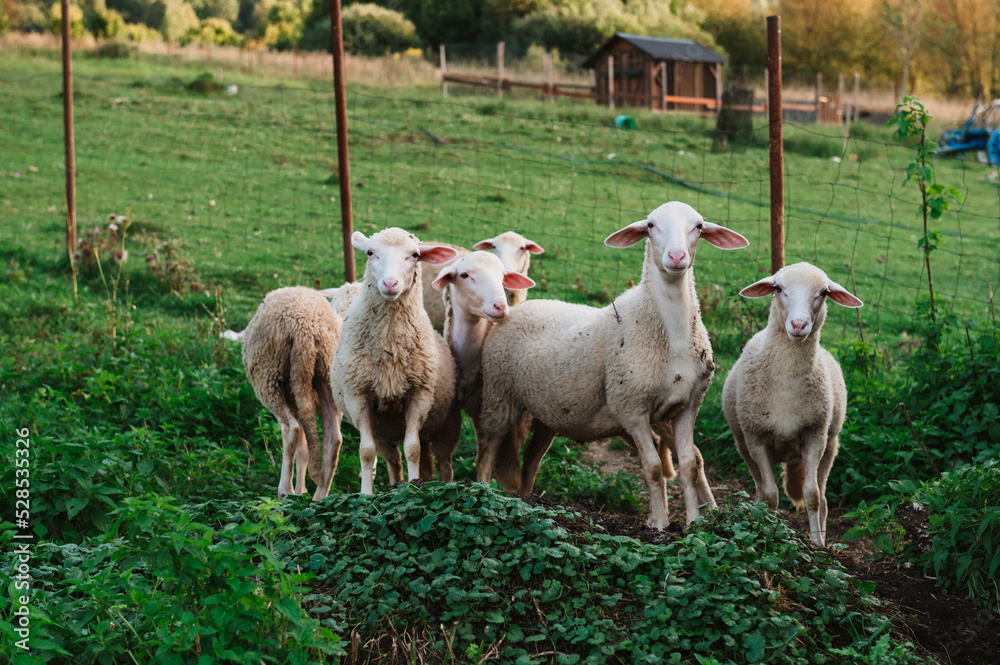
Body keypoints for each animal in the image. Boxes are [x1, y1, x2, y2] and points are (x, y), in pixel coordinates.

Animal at [241, 286, 343, 500]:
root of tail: (306, 329)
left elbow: (298, 442)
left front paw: (295, 491)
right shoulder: (298, 401)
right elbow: (303, 450)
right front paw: (301, 491)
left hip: (269, 378)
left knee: (292, 429)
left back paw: (284, 491)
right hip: (326, 375)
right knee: (333, 438)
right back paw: (319, 496)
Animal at [330, 228, 462, 494]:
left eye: (415, 255)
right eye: (370, 252)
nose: (390, 284)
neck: (389, 344)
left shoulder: (418, 395)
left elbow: (412, 448)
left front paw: (414, 488)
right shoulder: (358, 397)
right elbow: (366, 452)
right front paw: (366, 494)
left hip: (446, 424)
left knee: (443, 461)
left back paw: (442, 485)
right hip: (384, 431)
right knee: (393, 461)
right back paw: (395, 486)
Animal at [431, 251, 536, 491]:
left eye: (503, 276)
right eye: (464, 275)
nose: (500, 306)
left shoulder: (498, 413)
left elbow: (490, 460)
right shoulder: (467, 410)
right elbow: (452, 461)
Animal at [475, 202, 749, 528]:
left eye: (698, 226)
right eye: (651, 225)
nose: (676, 257)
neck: (668, 334)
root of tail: (515, 309)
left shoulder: (687, 405)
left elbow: (688, 464)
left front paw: (694, 523)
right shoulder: (631, 408)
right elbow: (653, 467)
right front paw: (659, 523)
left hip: (548, 412)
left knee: (531, 457)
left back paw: (527, 500)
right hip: (499, 397)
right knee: (487, 452)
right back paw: (482, 494)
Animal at [722, 262, 863, 546]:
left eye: (824, 292)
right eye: (778, 288)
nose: (799, 324)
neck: (787, 386)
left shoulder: (815, 435)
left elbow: (812, 496)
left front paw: (817, 545)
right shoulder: (756, 438)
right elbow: (770, 496)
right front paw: (768, 534)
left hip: (830, 446)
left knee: (823, 497)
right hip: (743, 446)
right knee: (759, 491)